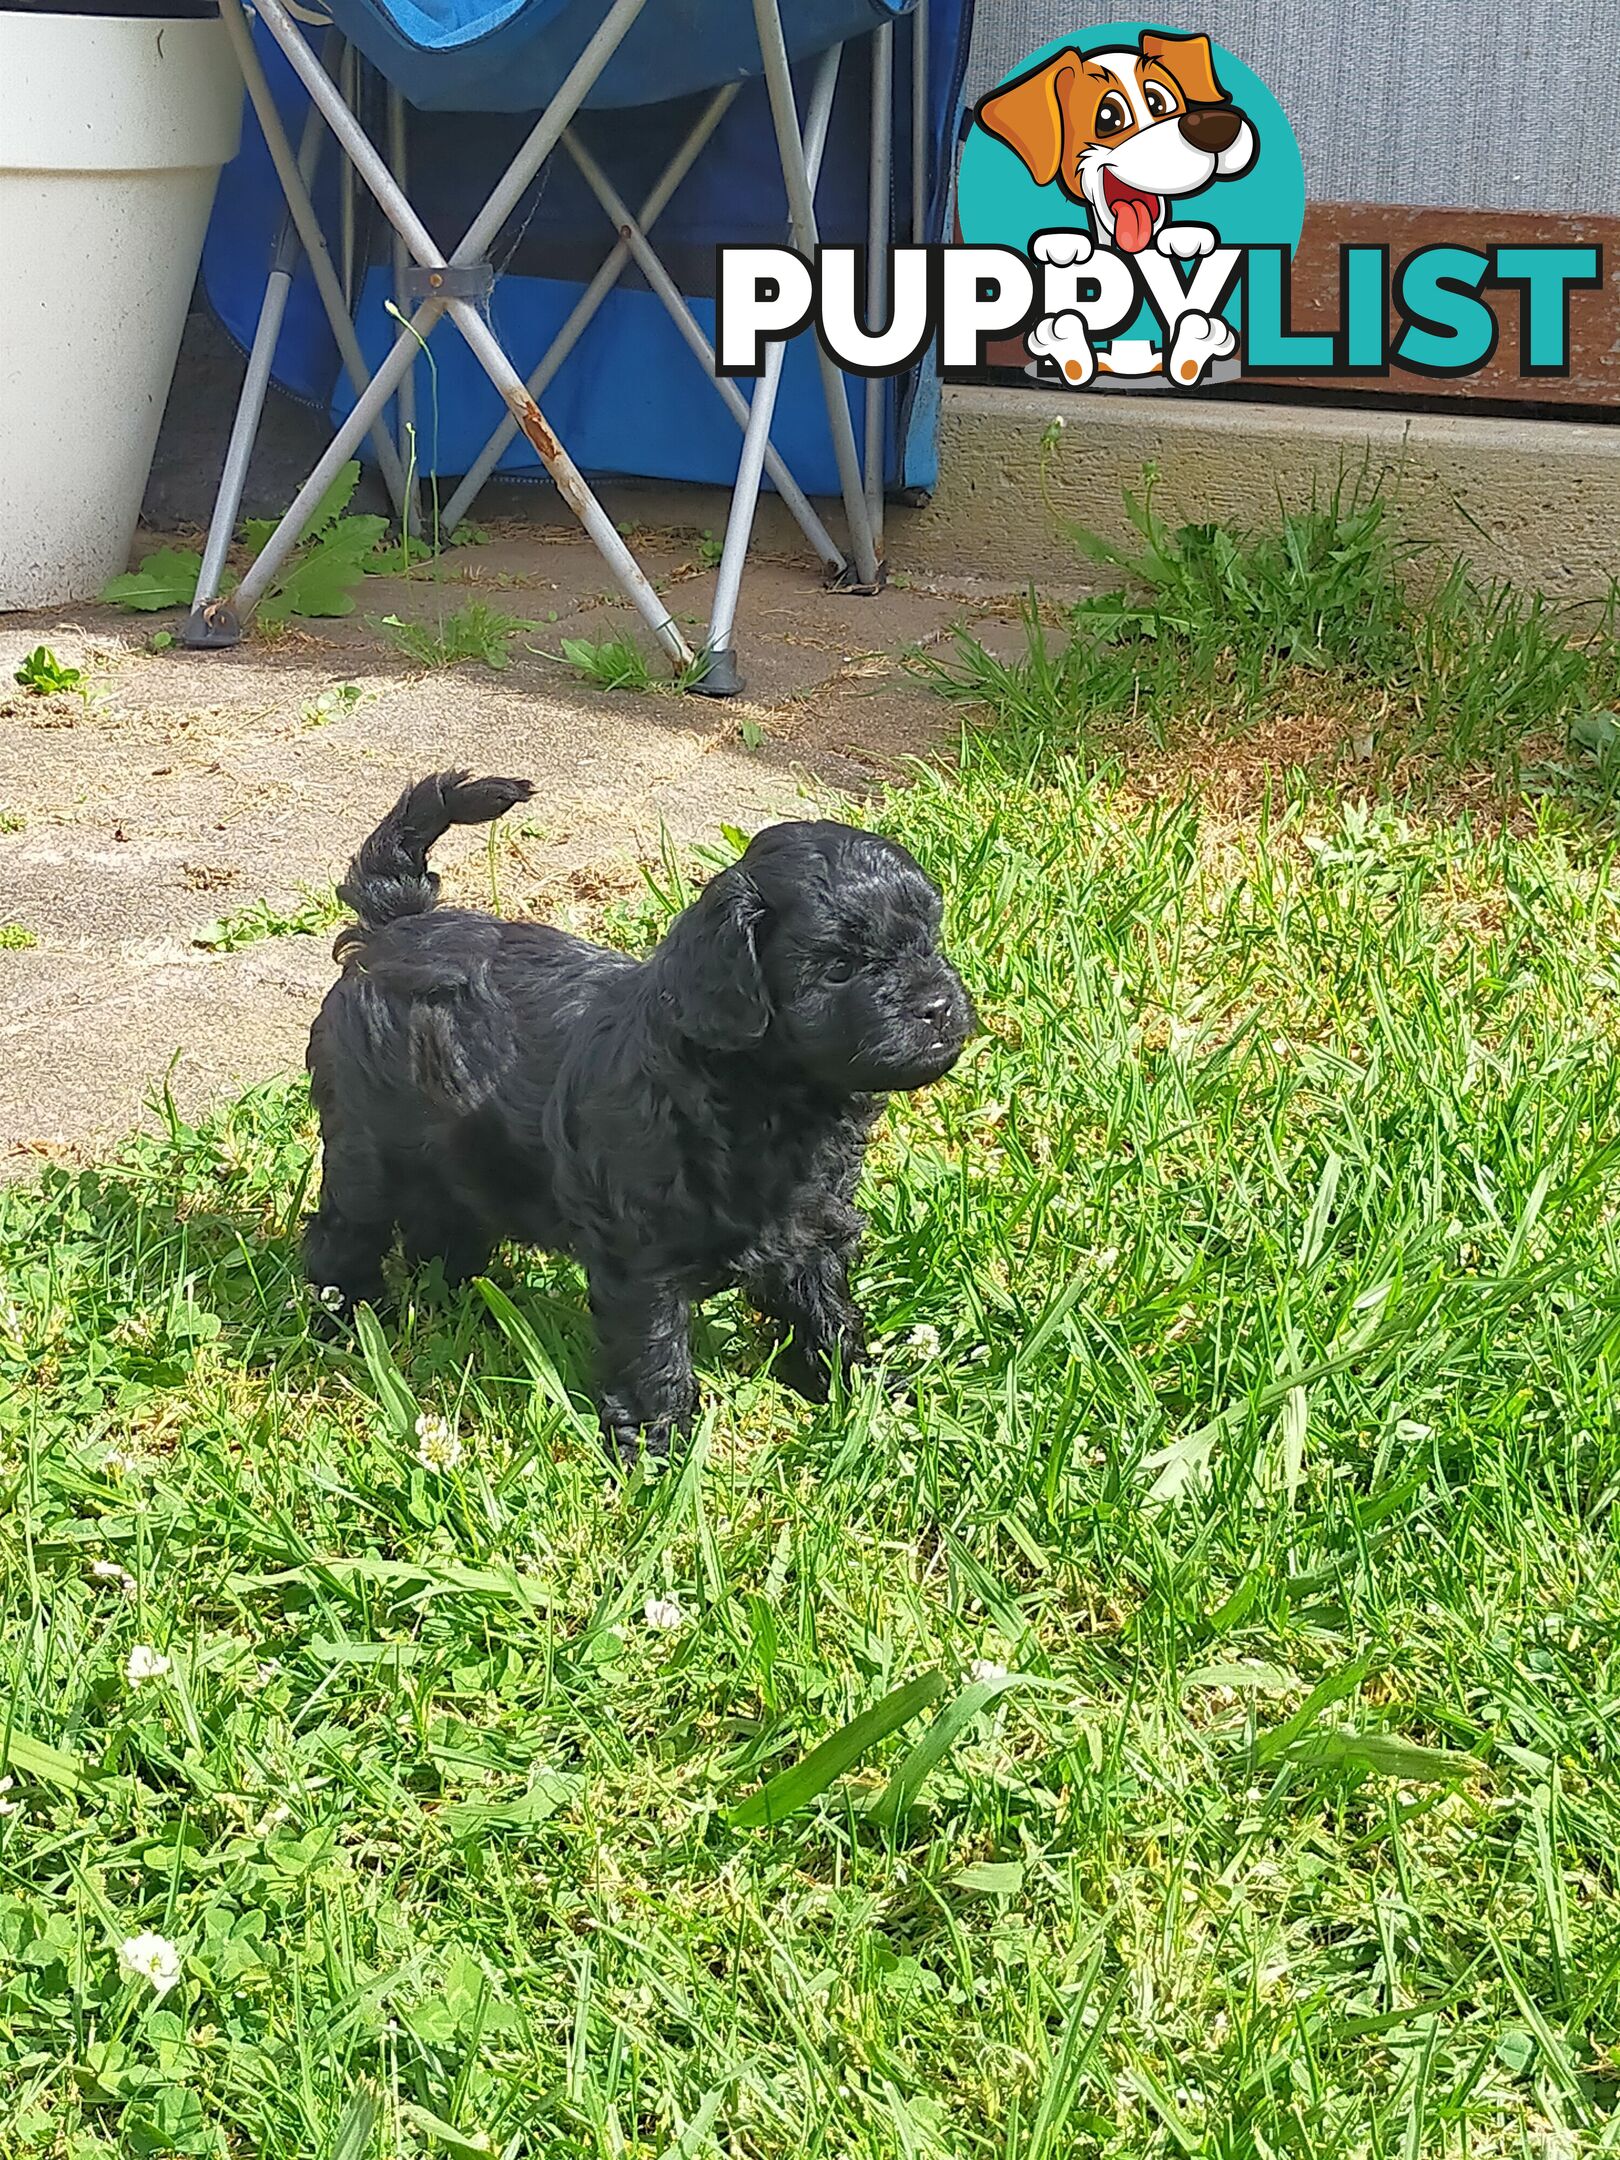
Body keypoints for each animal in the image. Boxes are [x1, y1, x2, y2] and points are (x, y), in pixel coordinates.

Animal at [304, 768, 976, 1460]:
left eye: (929, 943)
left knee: (443, 1225)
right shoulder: (640, 1255)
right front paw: (660, 1443)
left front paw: (864, 1388)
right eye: (840, 967)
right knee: (345, 1231)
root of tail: (394, 927)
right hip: (368, 1147)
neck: (758, 1092)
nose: (938, 1005)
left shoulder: (807, 1225)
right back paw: (348, 1316)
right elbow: (653, 1349)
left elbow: (826, 1306)